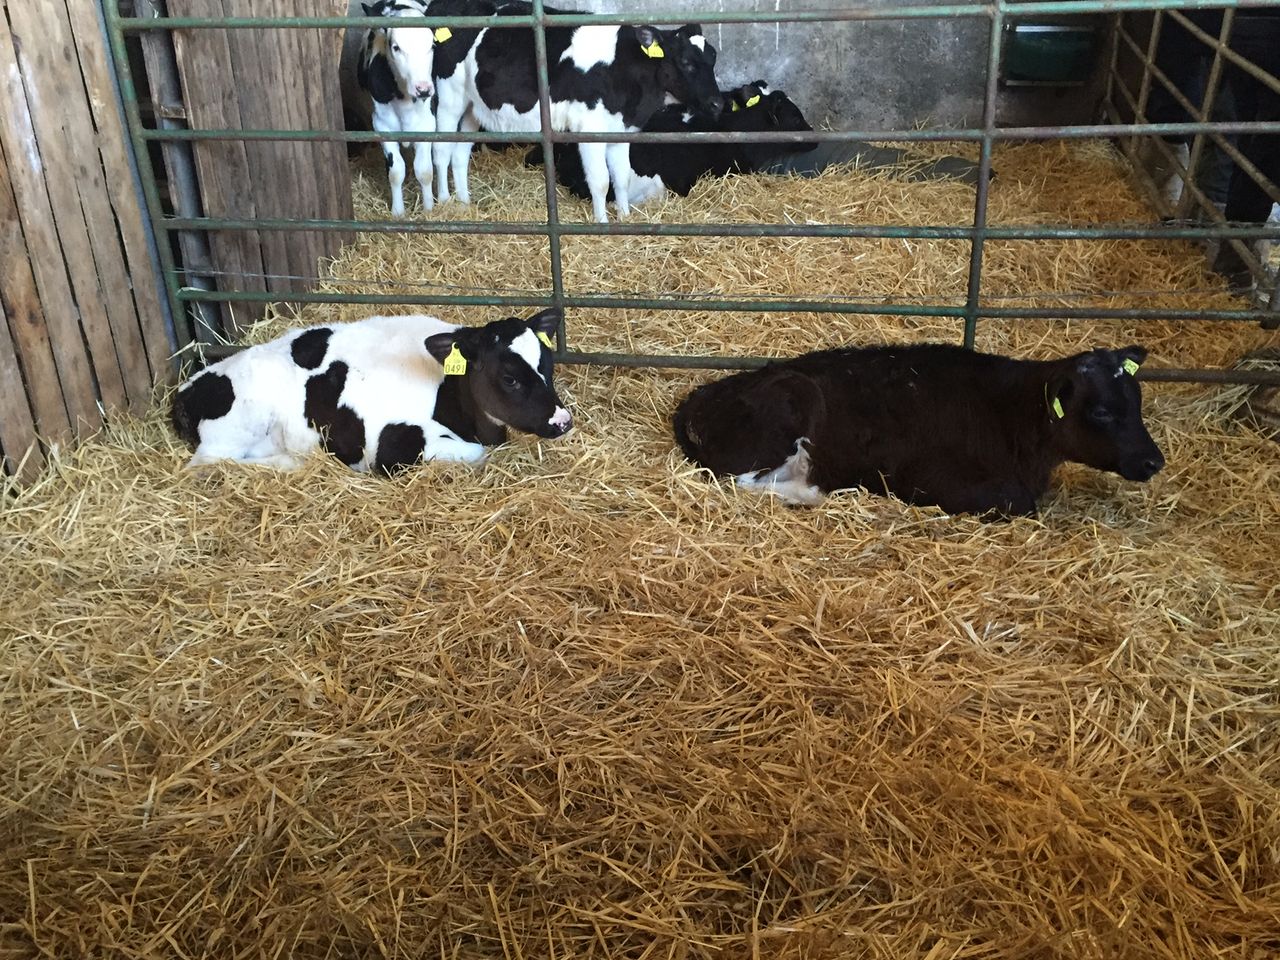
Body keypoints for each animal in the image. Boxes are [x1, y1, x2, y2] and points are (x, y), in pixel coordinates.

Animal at [171, 310, 572, 474]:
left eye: (547, 364)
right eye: (510, 378)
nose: (562, 420)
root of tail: (187, 388)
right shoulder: (394, 445)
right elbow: (474, 454)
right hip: (232, 433)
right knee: (207, 465)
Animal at [356, 0, 440, 217]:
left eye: (432, 45)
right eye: (396, 47)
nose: (423, 89)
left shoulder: (427, 125)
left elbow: (424, 170)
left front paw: (429, 208)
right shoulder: (382, 126)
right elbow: (395, 172)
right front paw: (398, 212)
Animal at [428, 0, 722, 221]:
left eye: (713, 58)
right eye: (686, 62)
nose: (717, 104)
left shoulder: (620, 129)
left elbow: (621, 177)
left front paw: (625, 218)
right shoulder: (589, 129)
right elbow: (601, 181)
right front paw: (602, 223)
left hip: (472, 106)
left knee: (460, 153)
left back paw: (464, 203)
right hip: (448, 97)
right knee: (441, 150)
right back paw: (444, 201)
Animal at [671, 343, 1166, 518]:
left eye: (1139, 402)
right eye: (1100, 412)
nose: (1154, 461)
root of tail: (703, 394)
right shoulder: (930, 478)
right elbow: (1018, 502)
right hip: (791, 407)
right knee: (747, 482)